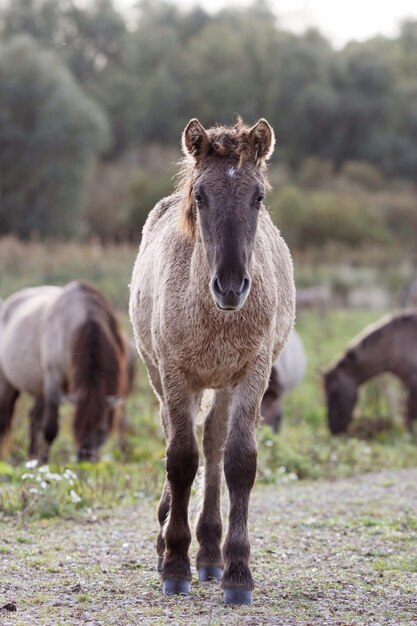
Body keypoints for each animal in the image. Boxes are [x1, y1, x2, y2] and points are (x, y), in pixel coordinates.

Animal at [0, 280, 127, 460]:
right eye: (77, 428)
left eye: (101, 431)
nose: (85, 459)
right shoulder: (53, 380)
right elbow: (50, 430)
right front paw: (44, 464)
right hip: (7, 383)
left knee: (34, 418)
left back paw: (31, 456)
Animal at [128, 114, 294, 604]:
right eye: (200, 196)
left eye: (258, 196)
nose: (231, 286)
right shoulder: (176, 374)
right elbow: (181, 459)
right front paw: (174, 564)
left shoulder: (252, 375)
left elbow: (238, 462)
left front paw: (237, 572)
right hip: (162, 378)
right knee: (177, 436)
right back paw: (171, 540)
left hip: (221, 384)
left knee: (215, 445)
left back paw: (209, 554)